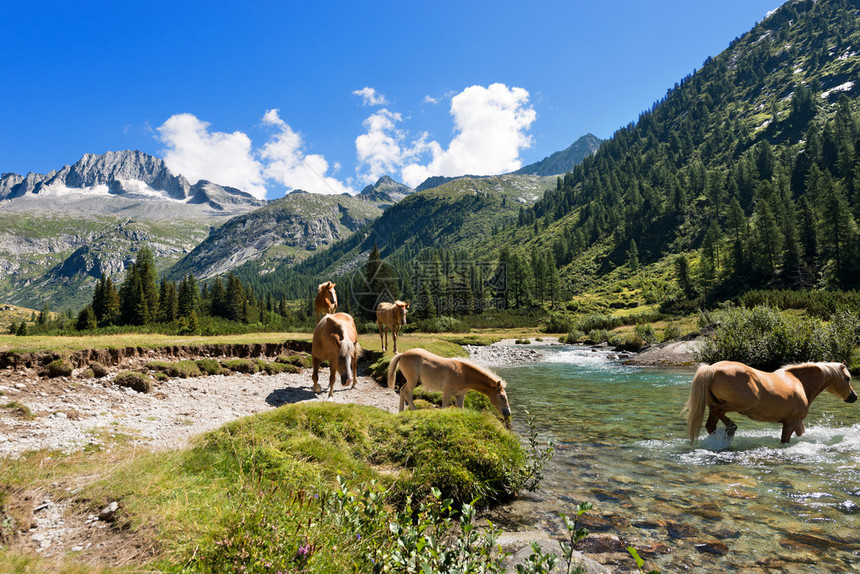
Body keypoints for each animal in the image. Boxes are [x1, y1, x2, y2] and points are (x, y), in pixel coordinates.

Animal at [680, 362, 856, 448]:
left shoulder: (798, 423)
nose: (854, 397)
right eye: (847, 378)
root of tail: (712, 368)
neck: (798, 382)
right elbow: (785, 440)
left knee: (711, 424)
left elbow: (802, 434)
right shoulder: (791, 422)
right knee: (718, 412)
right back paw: (731, 429)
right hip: (740, 405)